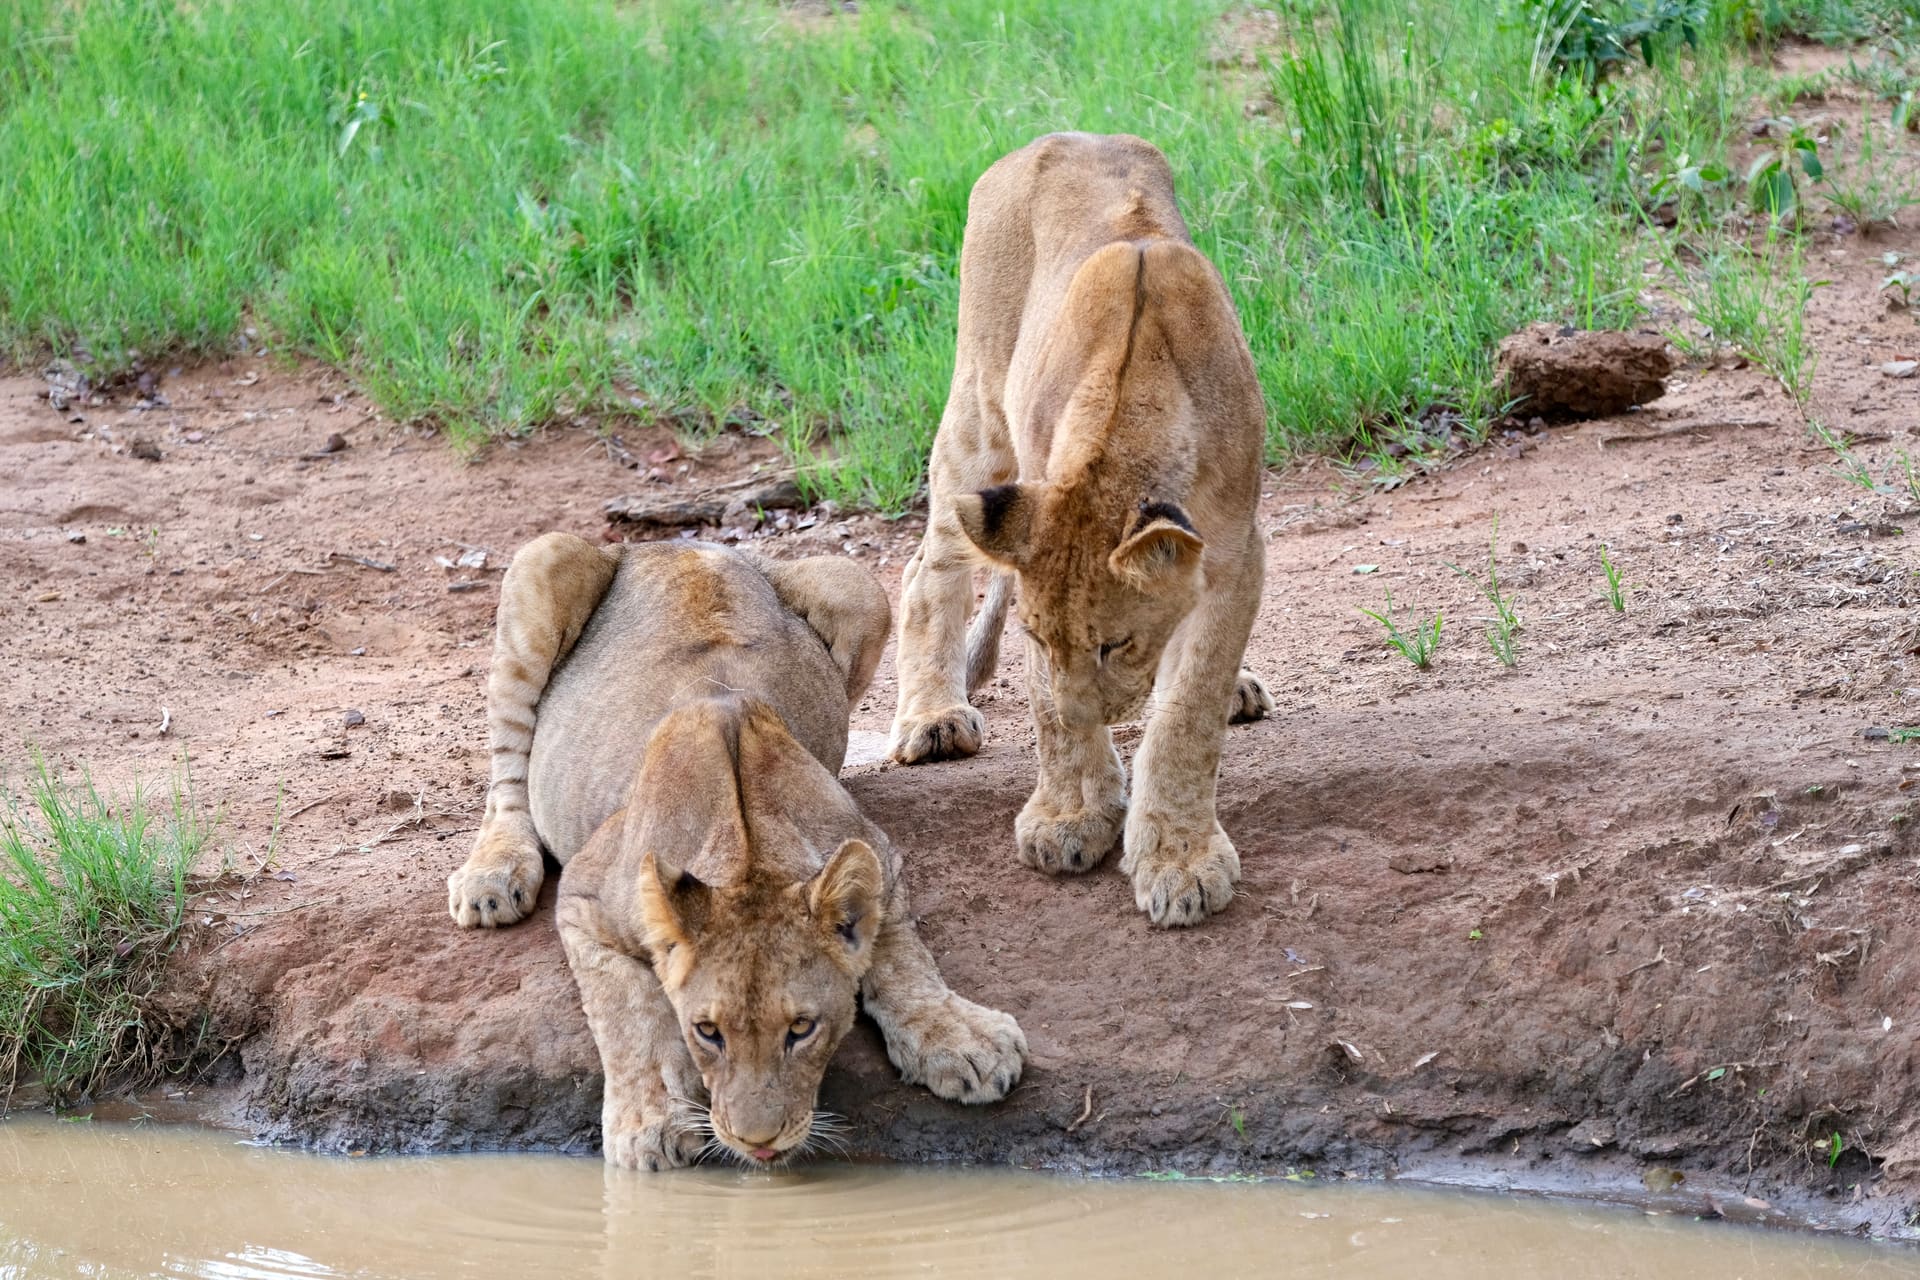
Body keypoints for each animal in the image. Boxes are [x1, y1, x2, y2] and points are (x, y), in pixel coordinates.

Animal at [446, 534, 1026, 1170]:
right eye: (707, 1032)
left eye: (801, 1028)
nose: (760, 1143)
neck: (748, 851)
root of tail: (675, 544)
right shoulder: (584, 897)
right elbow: (628, 1011)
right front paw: (651, 1123)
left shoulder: (876, 853)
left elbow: (904, 959)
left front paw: (959, 1039)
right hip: (543, 558)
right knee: (508, 774)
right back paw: (493, 877)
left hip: (859, 588)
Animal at [888, 132, 1273, 929]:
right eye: (1038, 639)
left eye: (1115, 643)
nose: (1087, 710)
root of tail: (1057, 137)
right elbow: (1048, 708)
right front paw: (1070, 816)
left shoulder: (1237, 555)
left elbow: (1188, 713)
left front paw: (1179, 862)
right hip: (977, 417)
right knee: (924, 569)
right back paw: (933, 717)